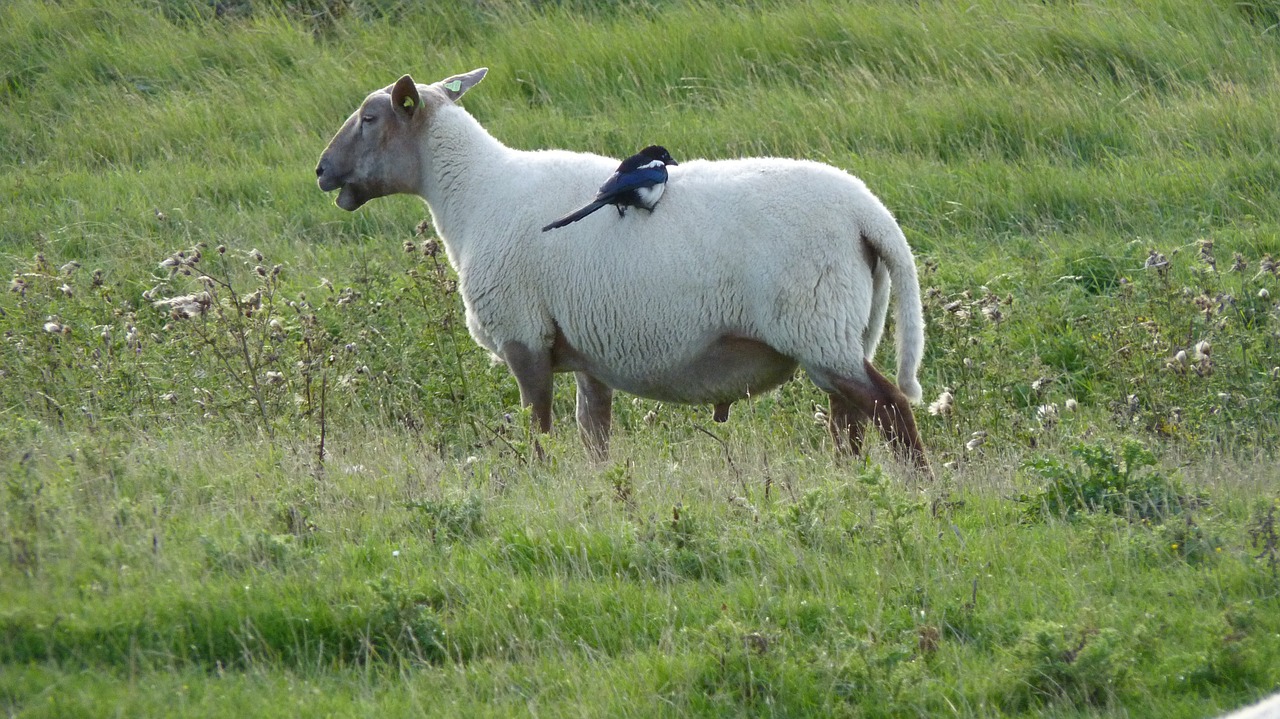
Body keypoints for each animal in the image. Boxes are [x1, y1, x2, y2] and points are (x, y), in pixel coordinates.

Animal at [312, 65, 931, 470]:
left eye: (369, 118)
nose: (321, 170)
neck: (473, 193)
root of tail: (868, 213)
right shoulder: (587, 351)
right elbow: (594, 437)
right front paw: (602, 491)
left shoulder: (524, 337)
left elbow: (539, 430)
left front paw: (538, 484)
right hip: (842, 330)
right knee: (850, 422)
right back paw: (849, 481)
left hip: (816, 325)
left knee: (891, 409)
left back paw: (916, 489)